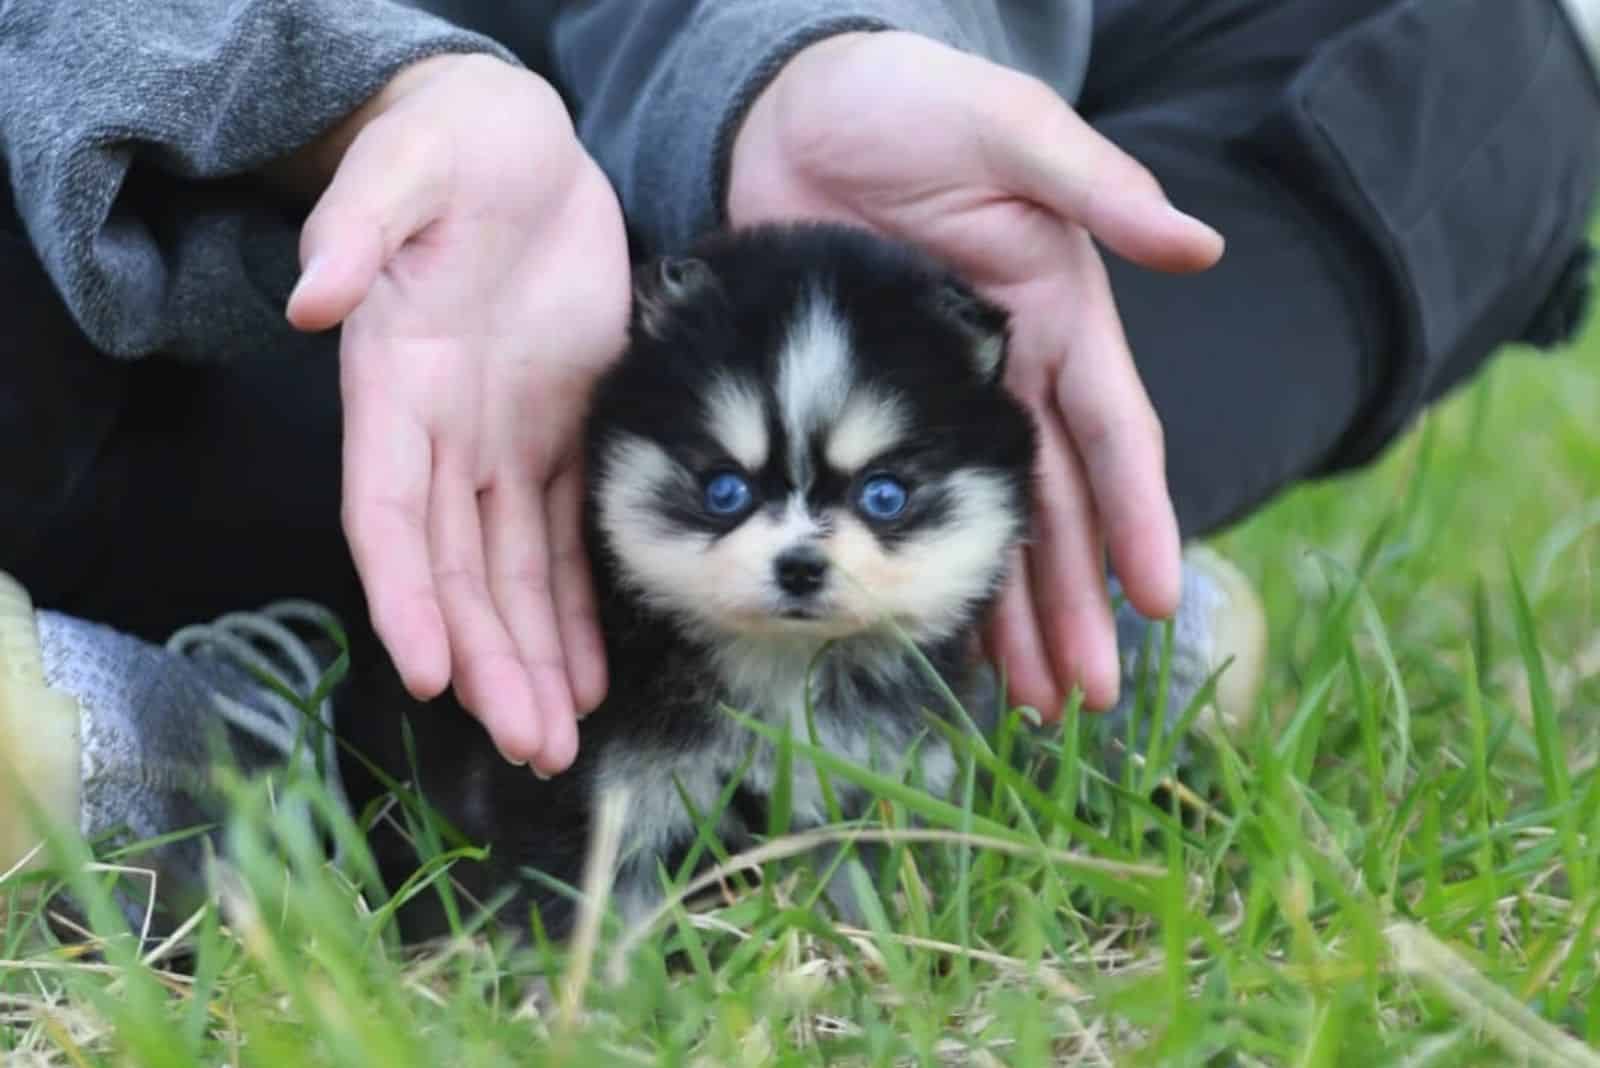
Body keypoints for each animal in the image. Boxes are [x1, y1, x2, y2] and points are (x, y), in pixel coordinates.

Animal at [350, 223, 1036, 933]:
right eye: (725, 490)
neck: (781, 668)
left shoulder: (865, 787)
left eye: (884, 496)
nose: (800, 566)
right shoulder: (600, 799)